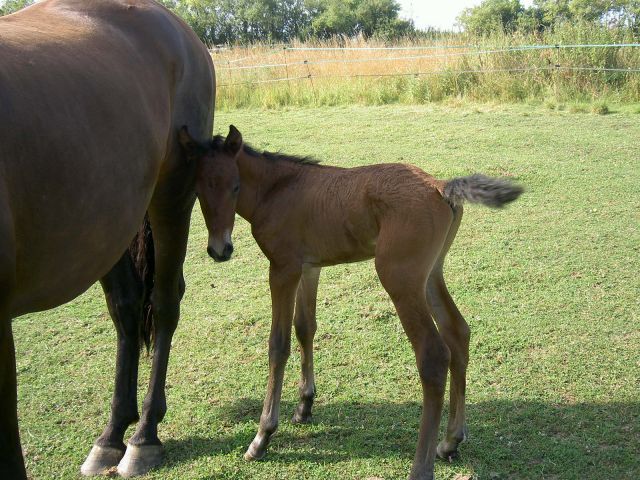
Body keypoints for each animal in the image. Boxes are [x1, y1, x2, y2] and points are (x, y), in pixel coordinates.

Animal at [0, 1, 215, 478]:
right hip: (110, 224)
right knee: (127, 306)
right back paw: (113, 434)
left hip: (173, 194)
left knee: (165, 300)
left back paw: (144, 436)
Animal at [178, 126, 524, 480]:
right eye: (199, 190)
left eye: (235, 186)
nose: (220, 250)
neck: (278, 189)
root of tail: (440, 186)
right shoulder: (309, 267)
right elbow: (305, 328)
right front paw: (304, 405)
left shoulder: (283, 268)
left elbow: (279, 344)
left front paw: (262, 436)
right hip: (430, 274)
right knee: (458, 332)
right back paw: (450, 440)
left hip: (399, 279)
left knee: (434, 354)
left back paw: (420, 467)